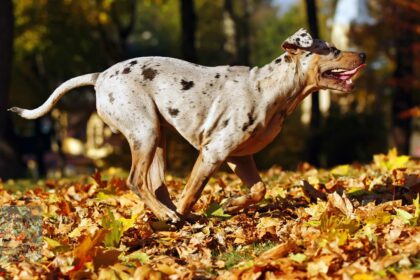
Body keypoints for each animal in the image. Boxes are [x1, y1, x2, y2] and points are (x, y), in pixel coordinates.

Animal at [9, 27, 364, 221]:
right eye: (333, 50)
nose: (361, 54)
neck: (269, 88)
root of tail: (100, 77)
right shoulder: (213, 153)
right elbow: (192, 192)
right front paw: (187, 215)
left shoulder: (239, 158)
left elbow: (259, 189)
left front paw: (233, 205)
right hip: (144, 131)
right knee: (136, 181)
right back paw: (168, 216)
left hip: (158, 138)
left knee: (154, 184)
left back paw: (161, 213)